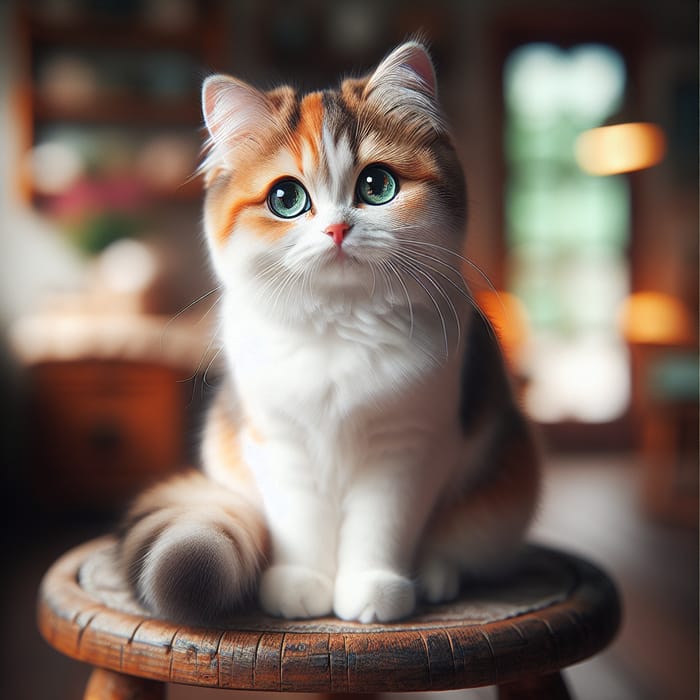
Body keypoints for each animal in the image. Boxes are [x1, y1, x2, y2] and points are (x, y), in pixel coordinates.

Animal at [117, 41, 540, 628]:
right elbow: (300, 525)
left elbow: (380, 526)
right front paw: (301, 585)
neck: (339, 326)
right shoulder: (278, 441)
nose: (338, 229)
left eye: (377, 186)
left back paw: (434, 576)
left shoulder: (406, 446)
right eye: (286, 198)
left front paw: (372, 587)